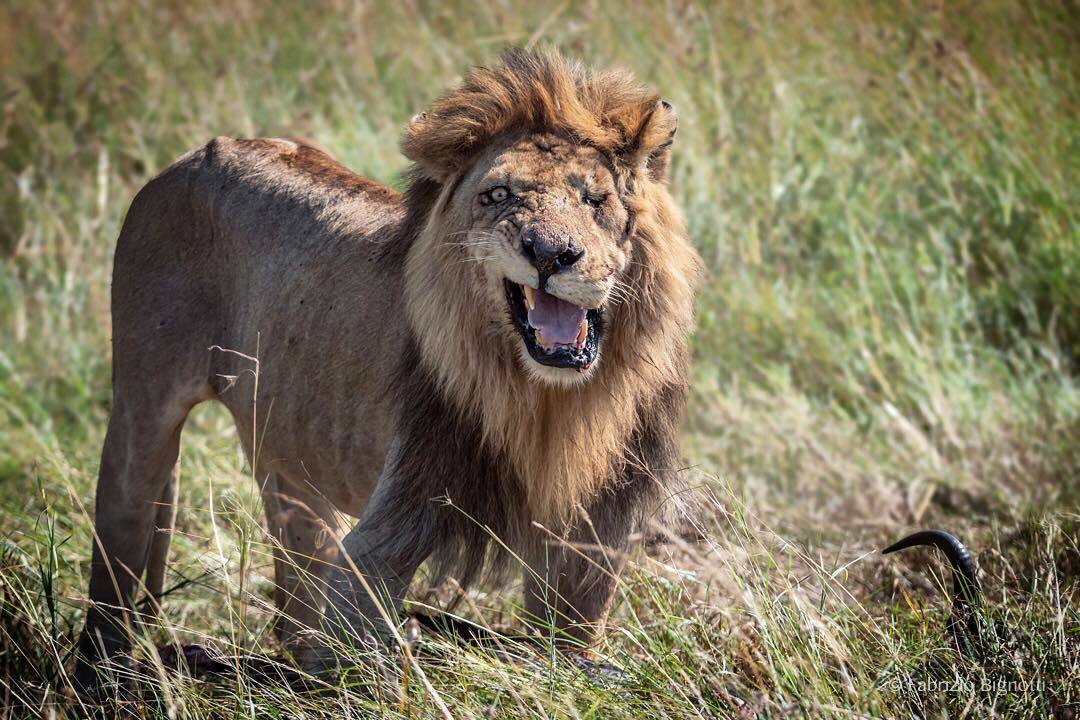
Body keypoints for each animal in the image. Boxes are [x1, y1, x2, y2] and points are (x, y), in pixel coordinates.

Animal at [76, 47, 699, 677]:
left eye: (595, 200)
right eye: (498, 195)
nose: (550, 254)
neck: (550, 399)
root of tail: (195, 154)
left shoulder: (594, 536)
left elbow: (568, 642)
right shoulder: (398, 516)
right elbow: (359, 645)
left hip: (286, 451)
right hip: (143, 409)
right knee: (121, 541)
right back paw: (107, 674)